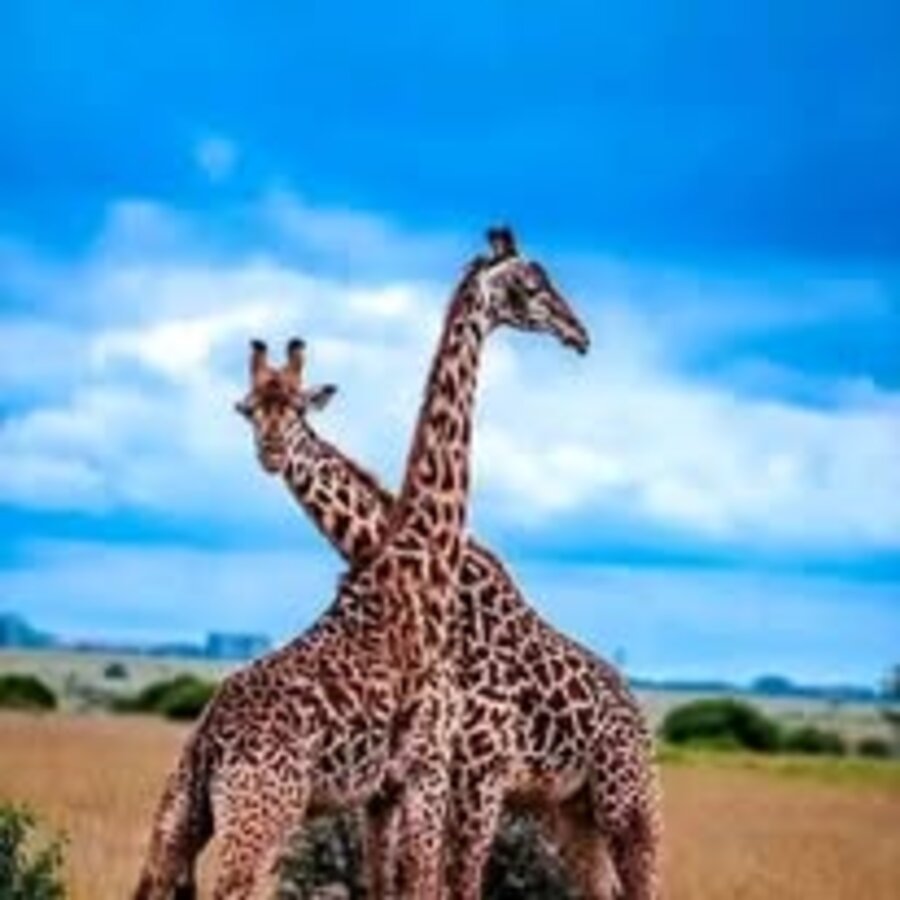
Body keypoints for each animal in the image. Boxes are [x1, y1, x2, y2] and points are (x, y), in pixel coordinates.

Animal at [133, 226, 592, 900]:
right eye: (532, 283)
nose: (578, 332)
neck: (423, 562)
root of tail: (208, 743)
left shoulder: (383, 792)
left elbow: (383, 884)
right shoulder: (428, 770)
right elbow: (423, 886)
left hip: (176, 821)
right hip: (260, 818)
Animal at [236, 269, 660, 897]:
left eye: (298, 409)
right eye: (248, 410)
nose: (578, 333)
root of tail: (639, 716)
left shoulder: (476, 775)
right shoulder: (427, 779)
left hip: (627, 801)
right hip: (570, 810)